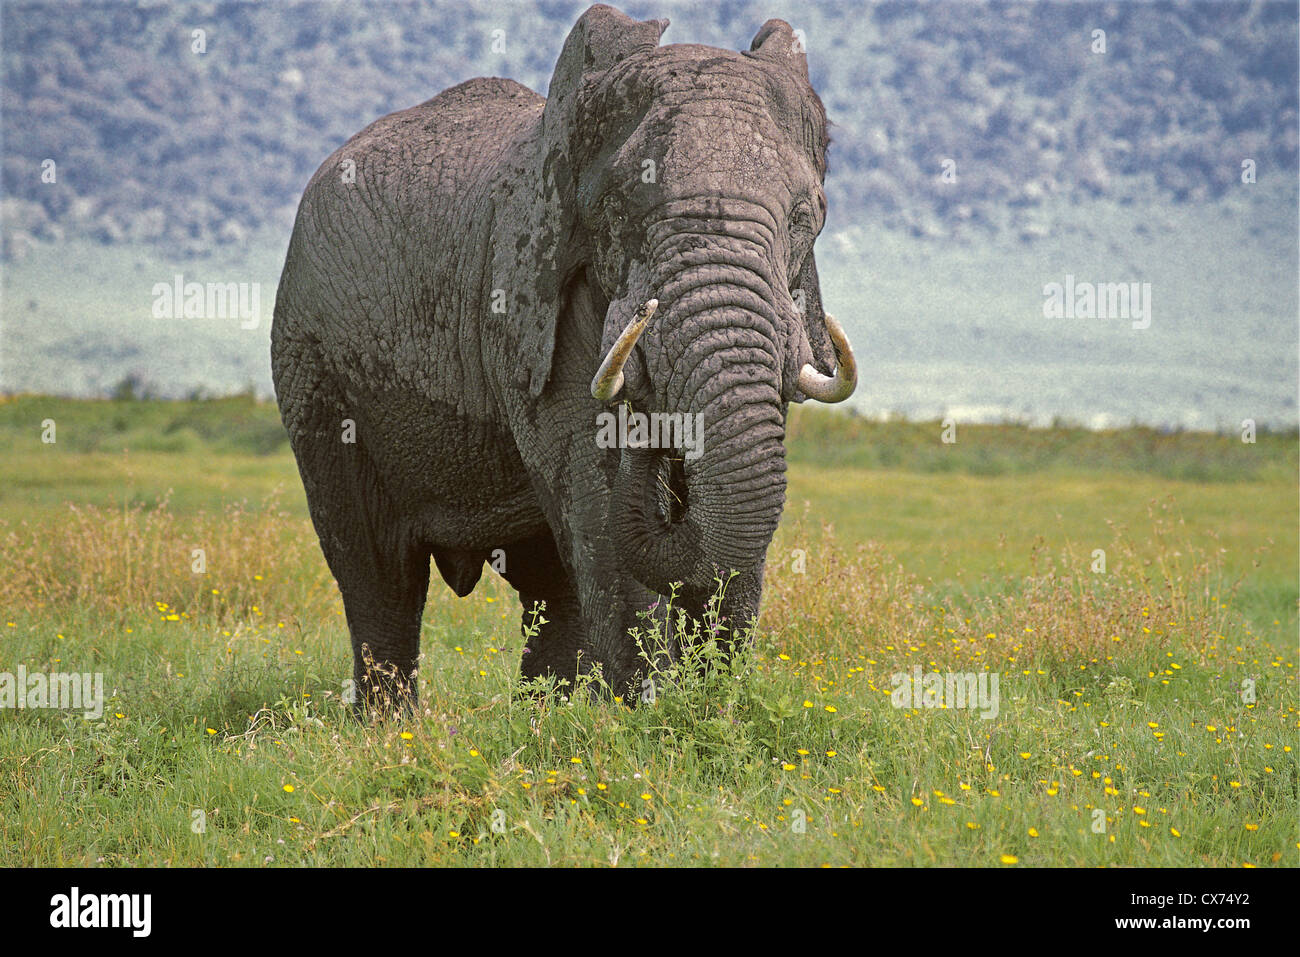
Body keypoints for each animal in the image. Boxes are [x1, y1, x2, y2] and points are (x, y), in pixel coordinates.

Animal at [270, 3, 857, 711]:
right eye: (616, 211)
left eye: (804, 216)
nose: (650, 437)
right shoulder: (524, 307)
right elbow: (598, 500)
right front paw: (653, 714)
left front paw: (710, 700)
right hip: (312, 362)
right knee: (378, 572)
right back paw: (392, 728)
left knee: (547, 580)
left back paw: (540, 717)